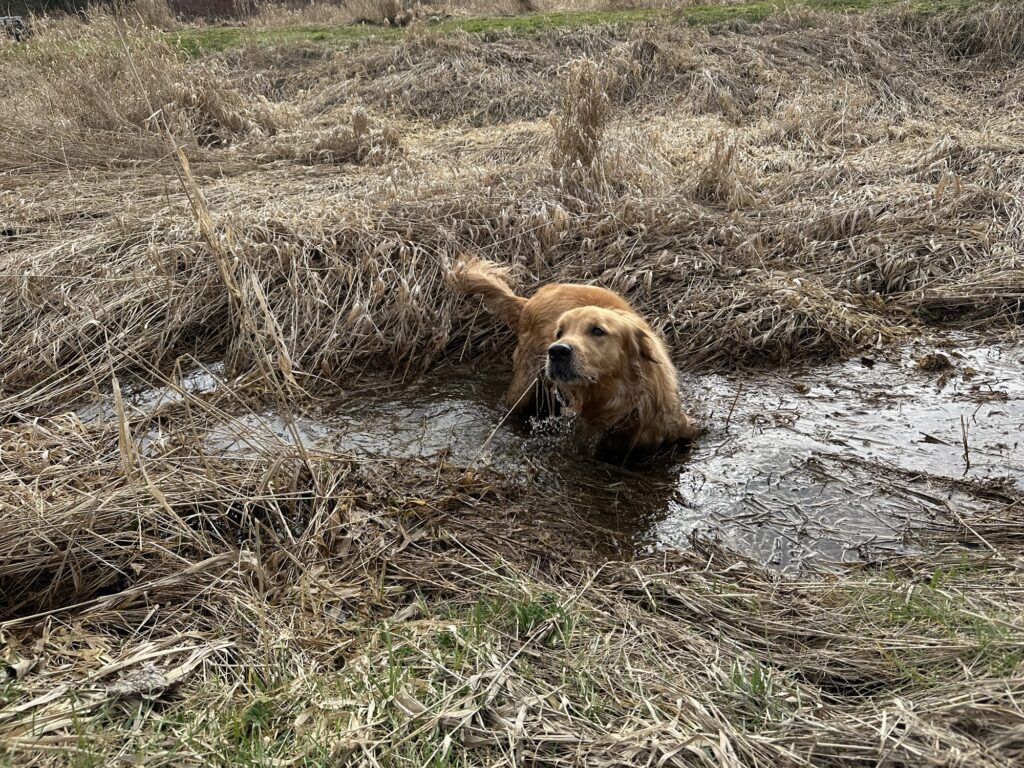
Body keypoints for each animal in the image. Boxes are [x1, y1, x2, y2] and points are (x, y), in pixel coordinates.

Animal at [450, 256, 696, 454]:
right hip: (523, 385)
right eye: (559, 332)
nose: (557, 351)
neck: (618, 399)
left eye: (598, 330)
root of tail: (529, 300)